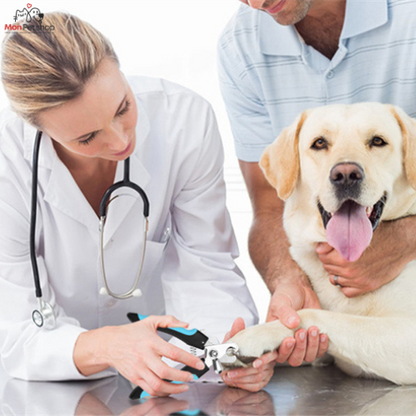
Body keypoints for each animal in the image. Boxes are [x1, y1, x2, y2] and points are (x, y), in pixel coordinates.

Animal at [228, 103, 416, 384]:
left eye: (377, 141)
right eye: (319, 143)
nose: (346, 175)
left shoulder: (406, 337)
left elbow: (310, 314)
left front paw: (251, 336)